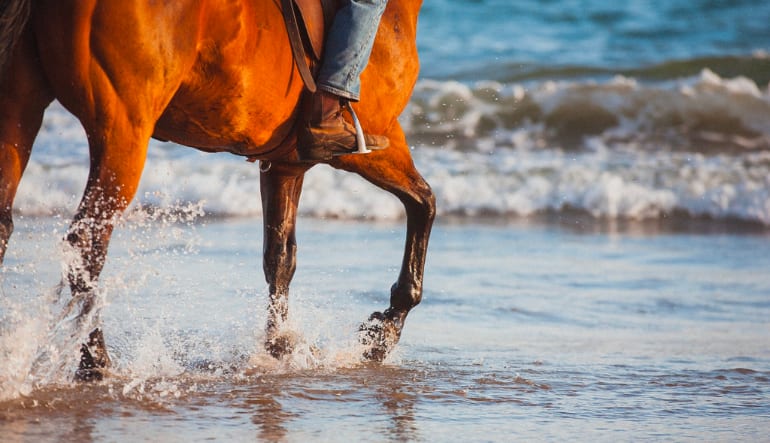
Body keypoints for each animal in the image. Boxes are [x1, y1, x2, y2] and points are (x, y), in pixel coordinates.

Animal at [0, 0, 432, 376]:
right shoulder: (372, 144)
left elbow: (280, 259)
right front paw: (383, 331)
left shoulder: (286, 165)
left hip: (20, 111)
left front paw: (281, 345)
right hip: (122, 134)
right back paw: (96, 365)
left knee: (9, 228)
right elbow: (424, 204)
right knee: (86, 248)